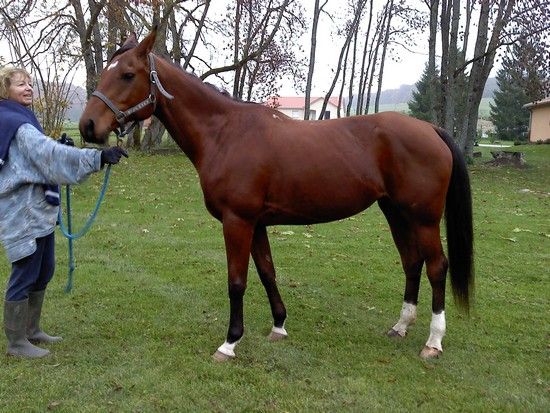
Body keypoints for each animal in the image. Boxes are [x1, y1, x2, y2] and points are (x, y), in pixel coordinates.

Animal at [79, 30, 474, 361]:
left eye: (127, 74)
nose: (88, 126)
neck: (225, 133)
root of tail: (431, 129)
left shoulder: (237, 221)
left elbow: (237, 281)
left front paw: (229, 342)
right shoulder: (257, 224)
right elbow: (268, 272)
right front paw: (279, 326)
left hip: (423, 218)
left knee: (437, 266)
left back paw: (433, 342)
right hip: (396, 213)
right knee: (412, 262)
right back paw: (401, 326)